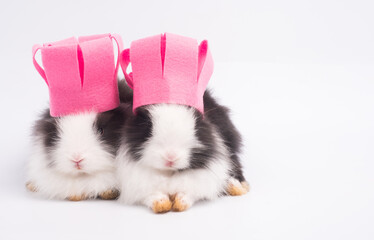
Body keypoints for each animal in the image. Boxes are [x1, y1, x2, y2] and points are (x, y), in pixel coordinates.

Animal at [115, 90, 247, 214]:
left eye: (196, 126)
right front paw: (162, 205)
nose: (170, 157)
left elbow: (189, 193)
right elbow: (152, 195)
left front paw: (180, 204)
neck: (169, 172)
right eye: (148, 126)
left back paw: (237, 187)